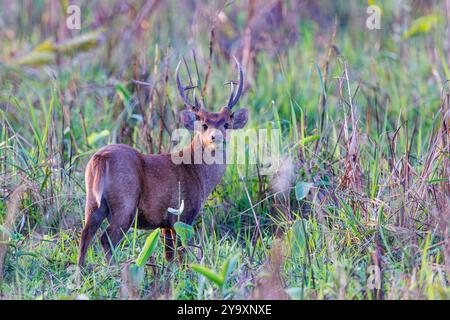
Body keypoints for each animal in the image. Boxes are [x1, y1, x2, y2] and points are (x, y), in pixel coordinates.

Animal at [76, 57, 248, 268]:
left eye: (227, 124)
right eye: (204, 124)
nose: (216, 137)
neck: (196, 171)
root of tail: (100, 158)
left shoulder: (164, 222)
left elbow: (168, 254)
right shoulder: (182, 214)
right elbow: (181, 252)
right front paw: (184, 271)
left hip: (92, 201)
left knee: (85, 234)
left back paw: (81, 271)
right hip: (125, 201)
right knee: (107, 238)